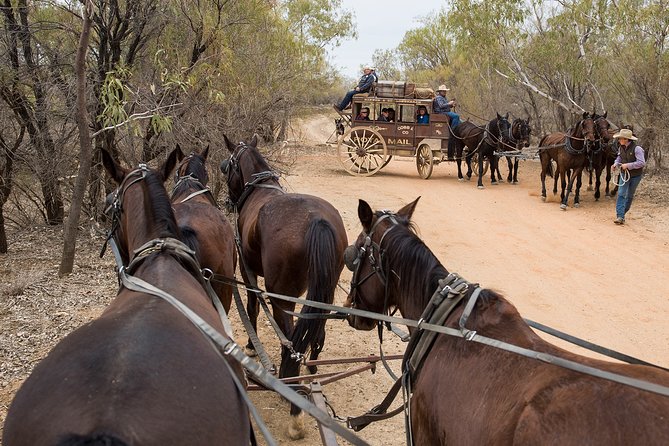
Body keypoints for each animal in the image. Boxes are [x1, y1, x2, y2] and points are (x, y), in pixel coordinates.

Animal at [219, 133, 348, 440]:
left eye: (227, 166)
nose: (229, 201)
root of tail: (317, 220)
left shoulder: (248, 272)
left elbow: (252, 308)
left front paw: (251, 346)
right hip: (323, 295)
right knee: (316, 333)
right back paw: (309, 372)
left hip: (283, 298)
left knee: (290, 340)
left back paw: (292, 398)